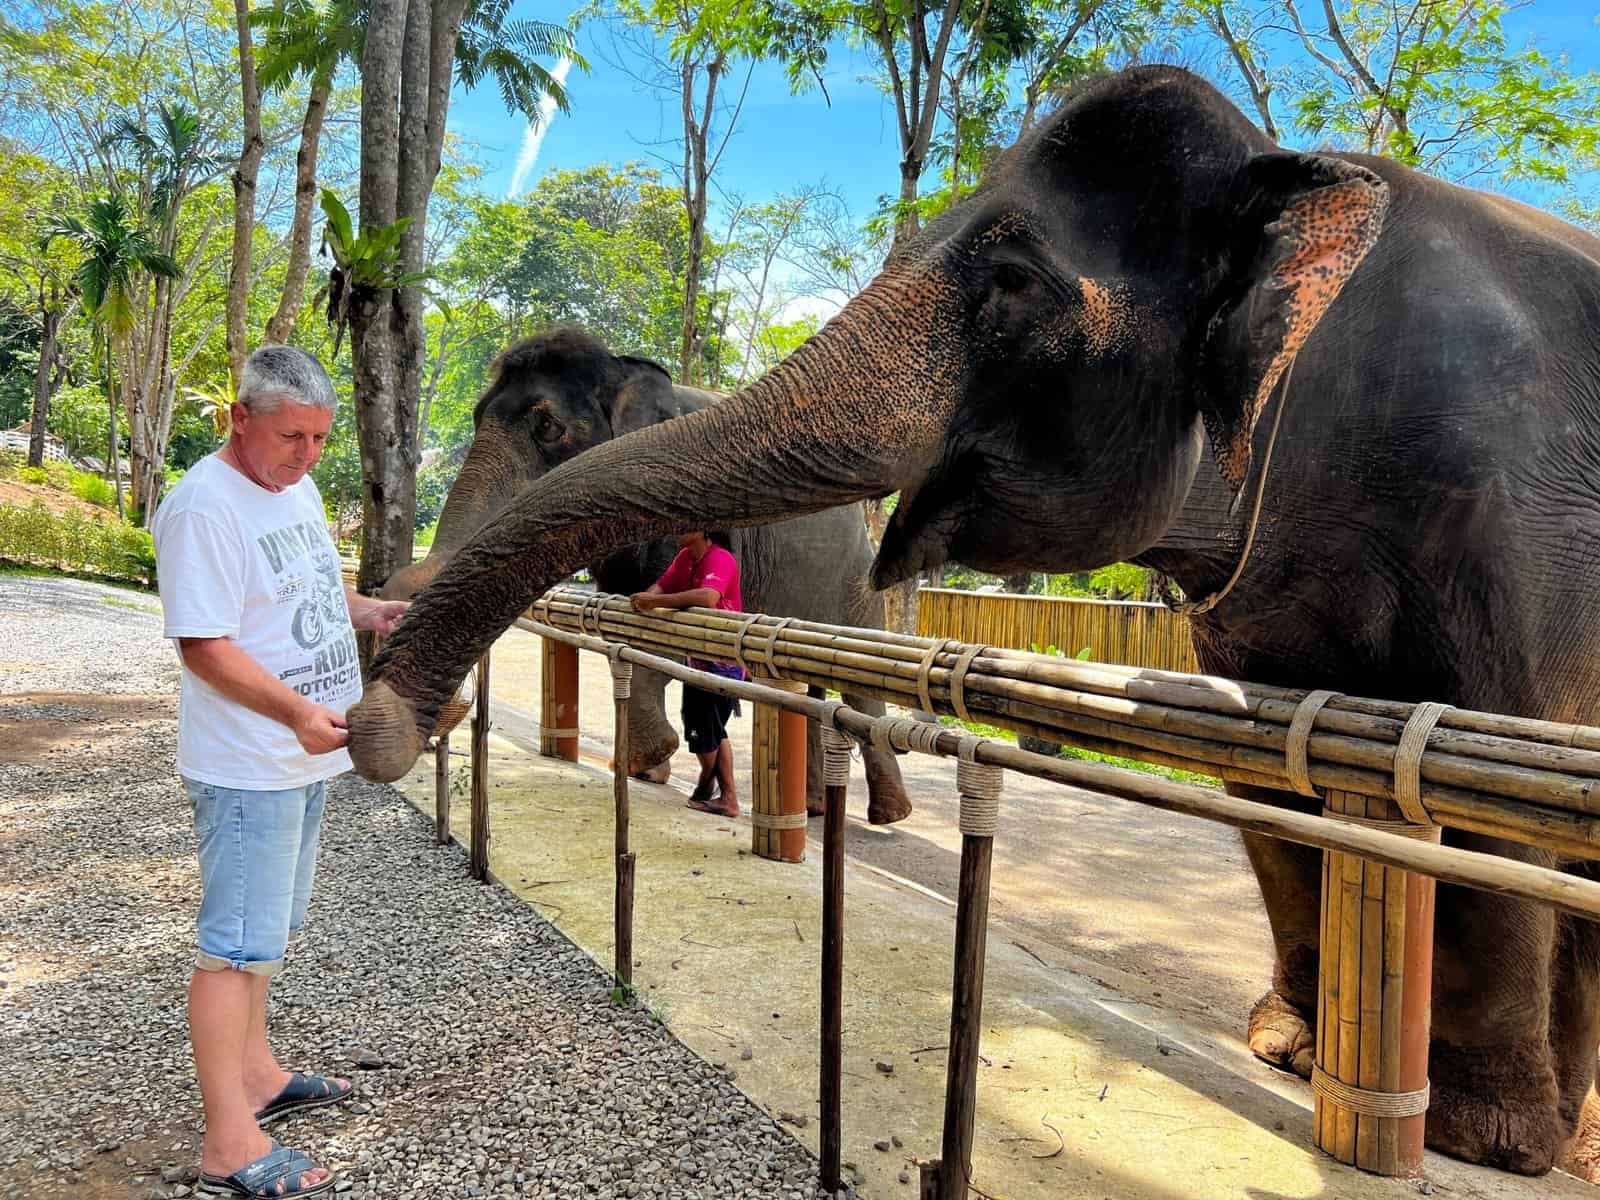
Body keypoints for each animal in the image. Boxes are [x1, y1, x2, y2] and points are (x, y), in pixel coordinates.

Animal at [381, 326, 913, 825]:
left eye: (548, 426)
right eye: (475, 417)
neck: (624, 371)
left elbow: (656, 631)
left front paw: (647, 761)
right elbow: (624, 613)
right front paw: (652, 767)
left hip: (856, 578)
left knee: (861, 687)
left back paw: (889, 813)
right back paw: (817, 806)